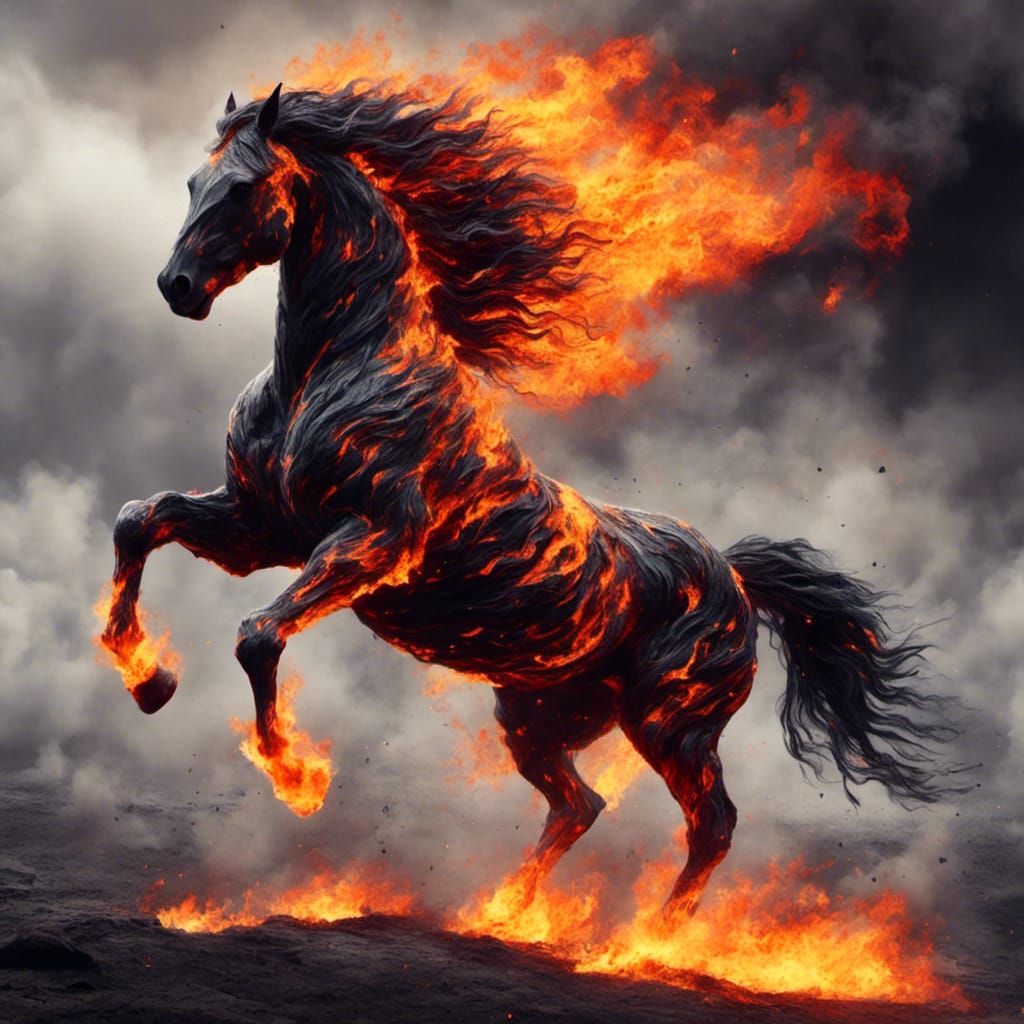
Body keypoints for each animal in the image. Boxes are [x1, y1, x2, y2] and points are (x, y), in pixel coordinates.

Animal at [100, 82, 961, 917]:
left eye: (243, 186)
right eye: (193, 182)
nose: (176, 287)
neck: (337, 366)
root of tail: (738, 579)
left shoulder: (373, 540)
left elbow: (257, 634)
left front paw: (297, 778)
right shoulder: (261, 527)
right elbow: (140, 521)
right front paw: (149, 682)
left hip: (672, 726)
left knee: (711, 824)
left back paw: (644, 939)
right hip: (538, 716)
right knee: (580, 806)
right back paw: (502, 914)